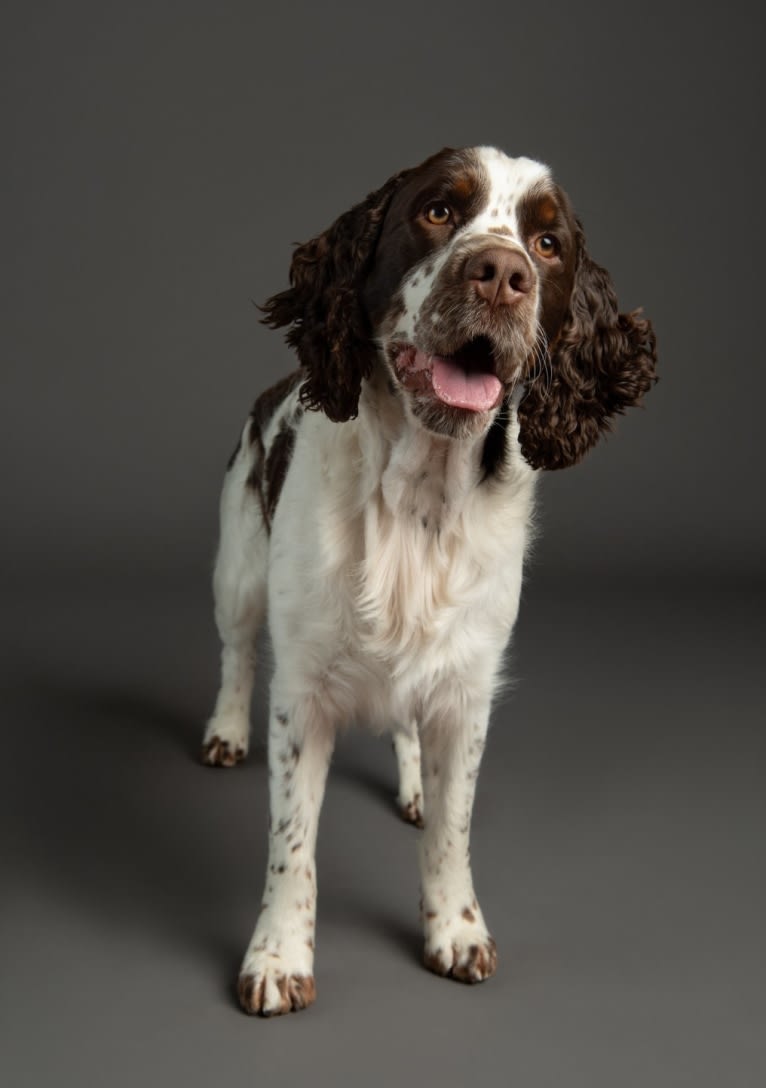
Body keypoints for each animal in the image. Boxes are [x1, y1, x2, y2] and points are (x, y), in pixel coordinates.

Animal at [200, 144, 657, 1009]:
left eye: (548, 245)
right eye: (439, 211)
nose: (500, 274)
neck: (417, 494)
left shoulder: (466, 686)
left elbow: (453, 826)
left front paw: (456, 929)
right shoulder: (303, 693)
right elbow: (292, 838)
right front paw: (277, 956)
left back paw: (409, 786)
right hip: (237, 568)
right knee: (237, 654)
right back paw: (225, 732)